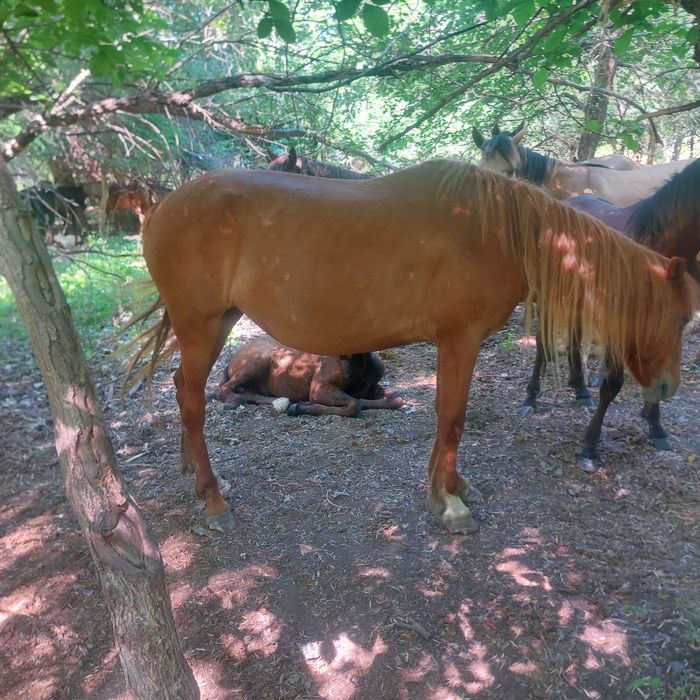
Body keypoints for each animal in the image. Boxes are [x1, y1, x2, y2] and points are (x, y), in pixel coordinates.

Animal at [210, 334, 403, 417]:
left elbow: (392, 397)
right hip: (258, 361)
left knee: (247, 392)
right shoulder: (318, 387)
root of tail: (231, 361)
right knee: (223, 389)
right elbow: (355, 404)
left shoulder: (373, 388)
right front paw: (304, 407)